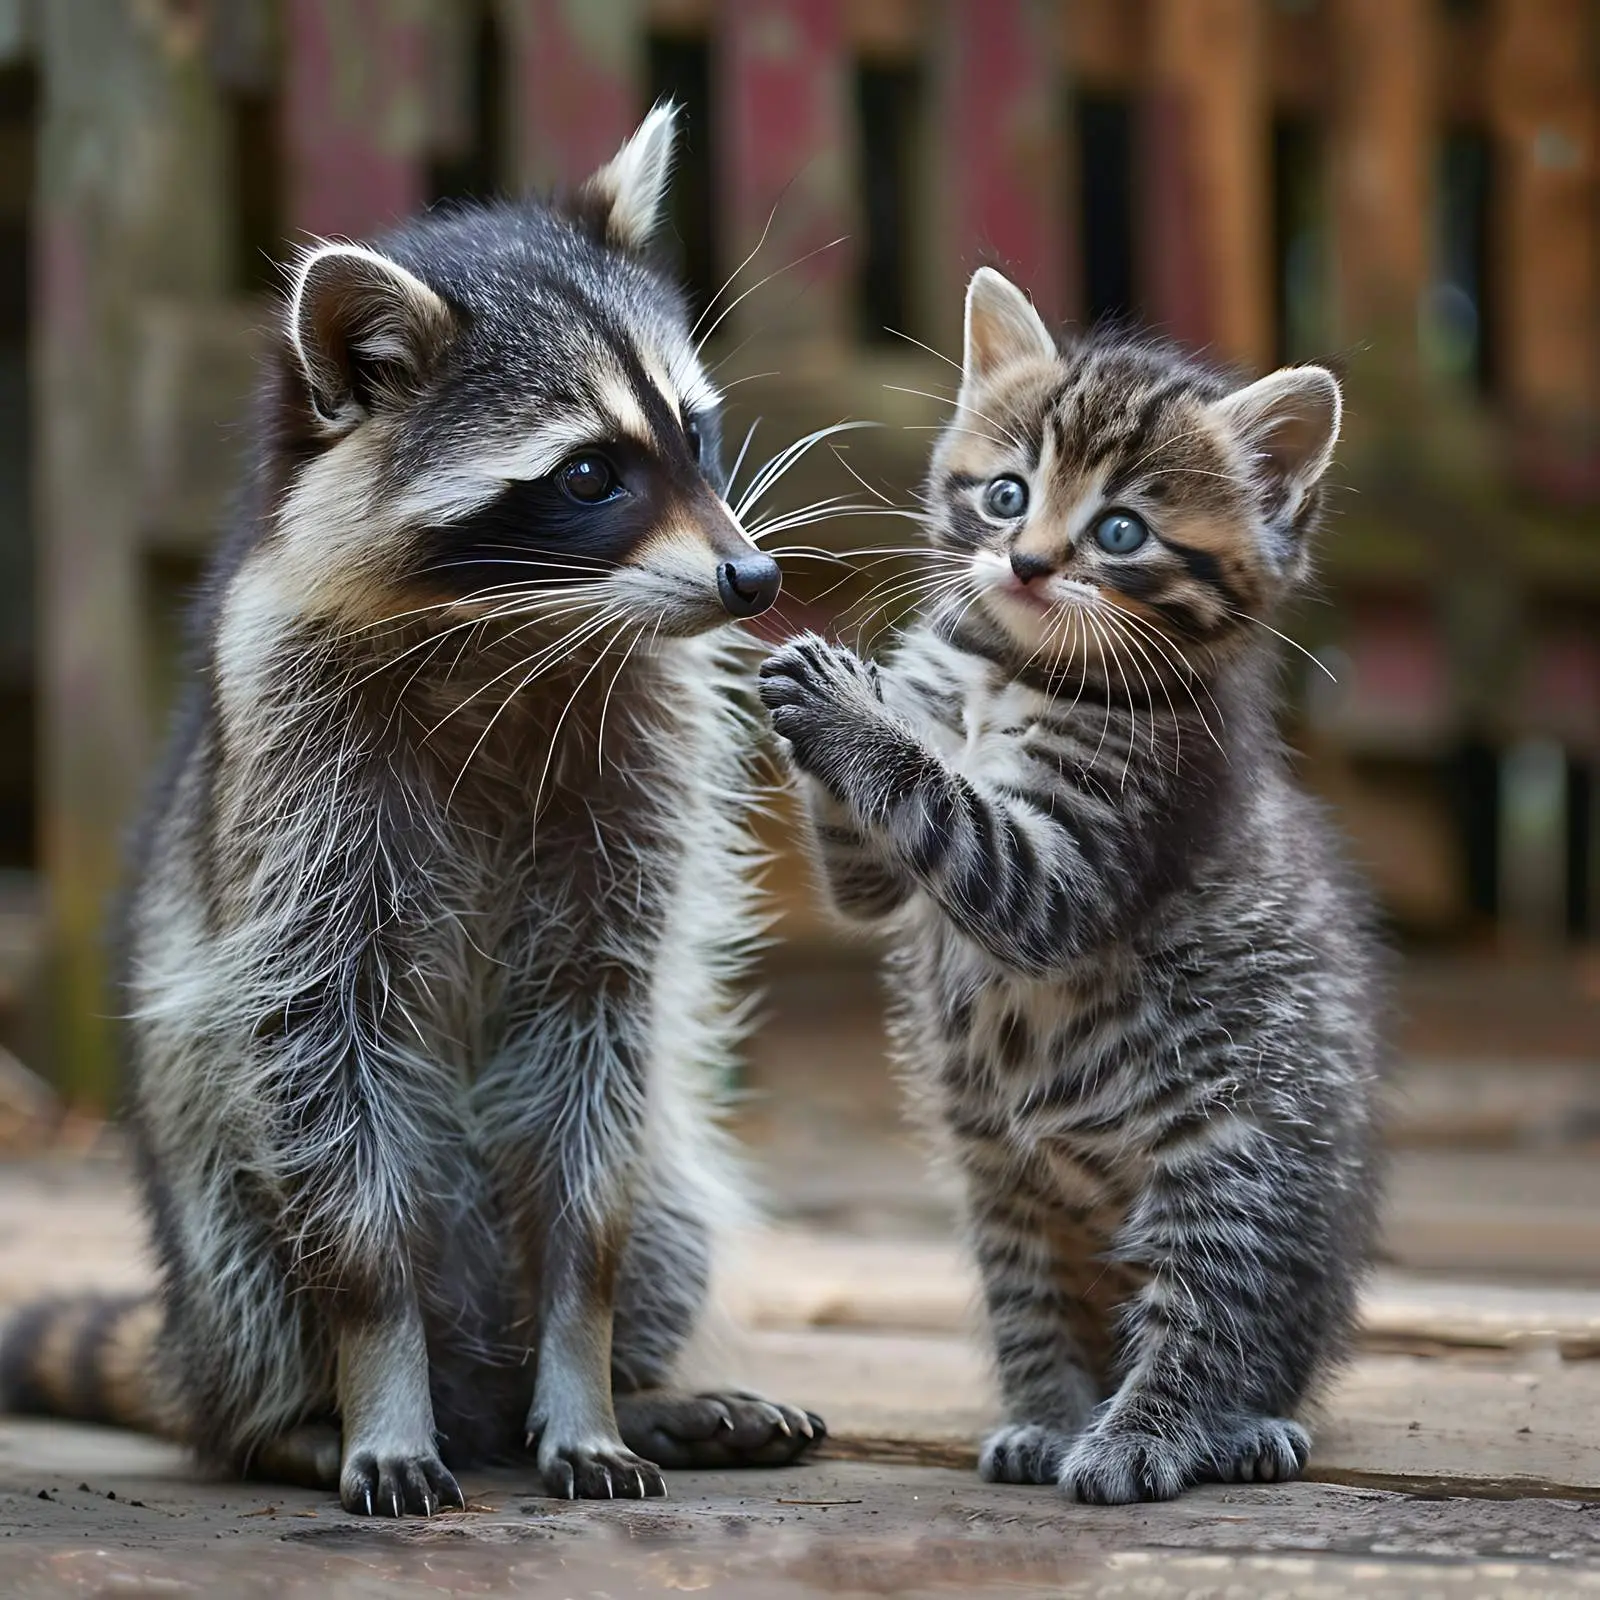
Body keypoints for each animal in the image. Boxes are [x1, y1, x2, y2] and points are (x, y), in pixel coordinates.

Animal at [1, 107, 824, 1514]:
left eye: (695, 433)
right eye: (590, 473)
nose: (753, 578)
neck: (523, 632)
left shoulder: (636, 779)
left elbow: (595, 1136)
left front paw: (587, 1372)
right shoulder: (300, 777)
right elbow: (320, 1065)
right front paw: (378, 1378)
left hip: (660, 1154)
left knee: (659, 1195)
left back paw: (641, 1387)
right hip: (206, 1211)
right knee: (249, 1230)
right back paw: (292, 1419)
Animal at [760, 269, 1383, 1503]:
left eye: (1120, 531)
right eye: (1007, 495)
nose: (1029, 563)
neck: (1016, 671)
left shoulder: (1098, 844)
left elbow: (960, 817)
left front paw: (851, 710)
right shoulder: (886, 869)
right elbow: (869, 867)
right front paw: (849, 681)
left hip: (1238, 1162)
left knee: (1215, 1319)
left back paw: (1164, 1435)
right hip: (1001, 1185)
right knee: (1032, 1305)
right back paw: (1048, 1420)